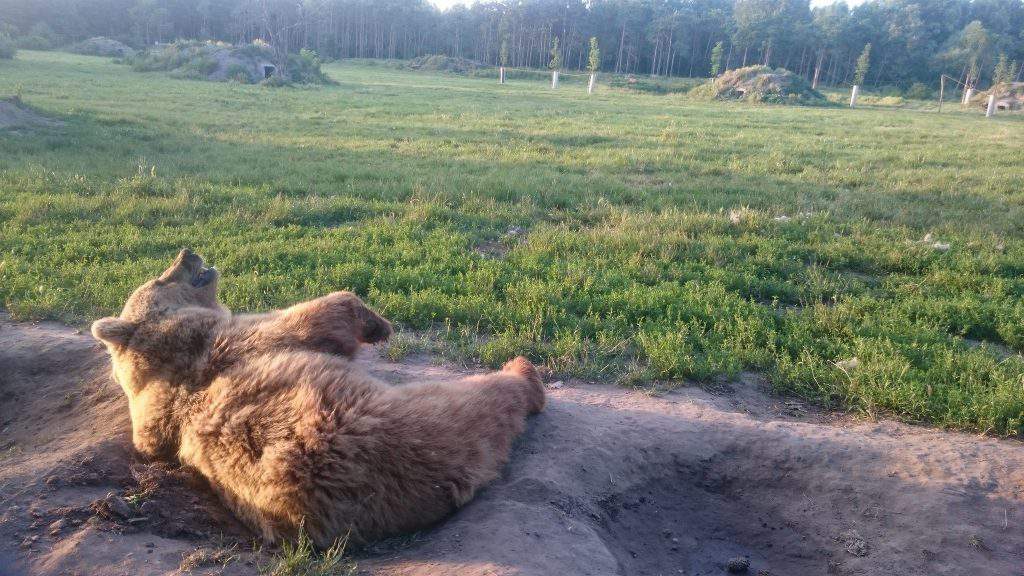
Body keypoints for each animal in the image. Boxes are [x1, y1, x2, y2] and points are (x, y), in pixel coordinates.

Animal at [92, 249, 548, 545]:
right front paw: (377, 323)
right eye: (162, 277)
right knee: (481, 407)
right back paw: (522, 373)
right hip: (410, 425)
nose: (187, 252)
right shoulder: (236, 340)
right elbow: (318, 316)